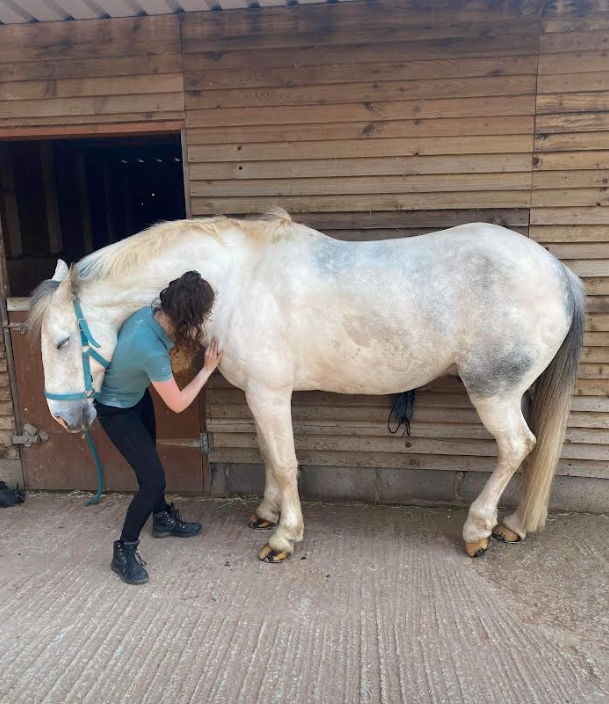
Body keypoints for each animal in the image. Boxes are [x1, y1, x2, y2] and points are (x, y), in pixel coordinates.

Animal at [30, 209, 585, 561]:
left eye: (61, 341)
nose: (64, 416)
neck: (236, 283)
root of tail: (560, 272)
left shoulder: (270, 393)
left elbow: (284, 460)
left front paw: (283, 537)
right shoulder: (261, 394)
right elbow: (267, 453)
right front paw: (266, 512)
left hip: (493, 390)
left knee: (516, 446)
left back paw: (479, 529)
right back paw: (512, 524)